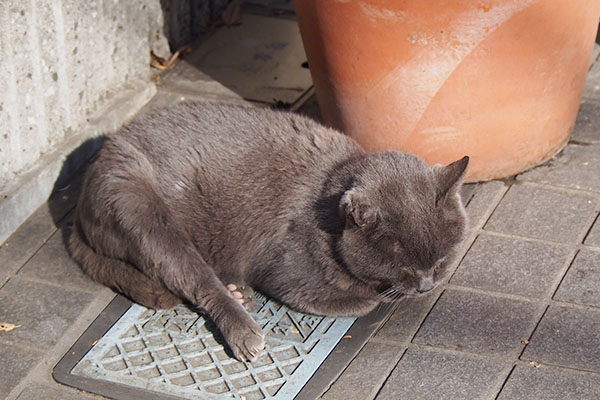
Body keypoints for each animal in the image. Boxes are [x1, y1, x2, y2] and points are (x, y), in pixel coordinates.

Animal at [69, 101, 468, 362]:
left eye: (441, 259)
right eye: (403, 265)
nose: (426, 285)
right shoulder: (286, 275)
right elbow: (363, 300)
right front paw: (378, 295)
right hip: (139, 206)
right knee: (193, 278)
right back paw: (242, 324)